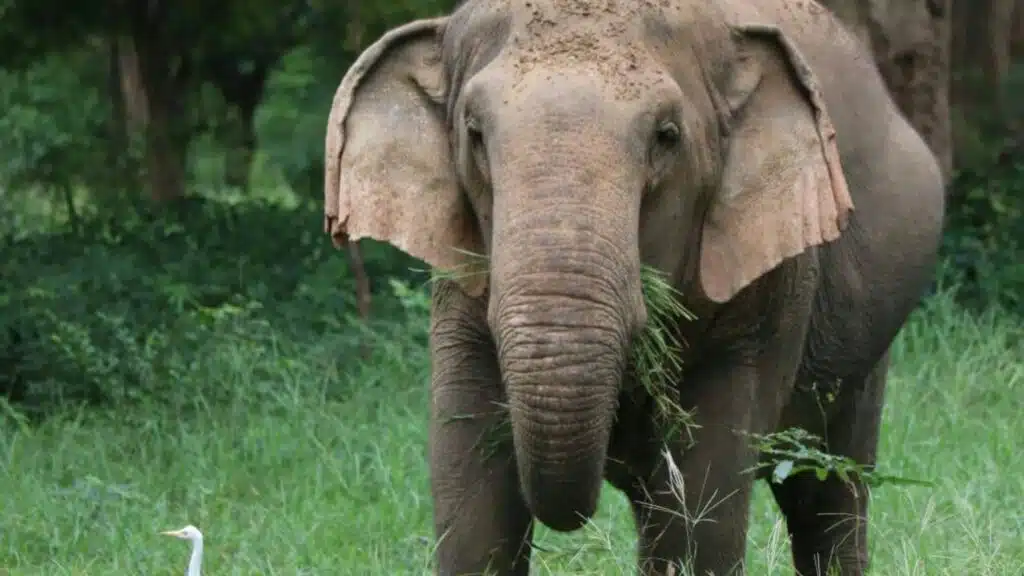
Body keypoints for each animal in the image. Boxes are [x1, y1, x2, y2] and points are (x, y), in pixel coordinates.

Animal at [319, 1, 942, 573]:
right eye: (473, 134)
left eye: (666, 136)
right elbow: (472, 494)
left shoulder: (774, 288)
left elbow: (702, 504)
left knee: (826, 489)